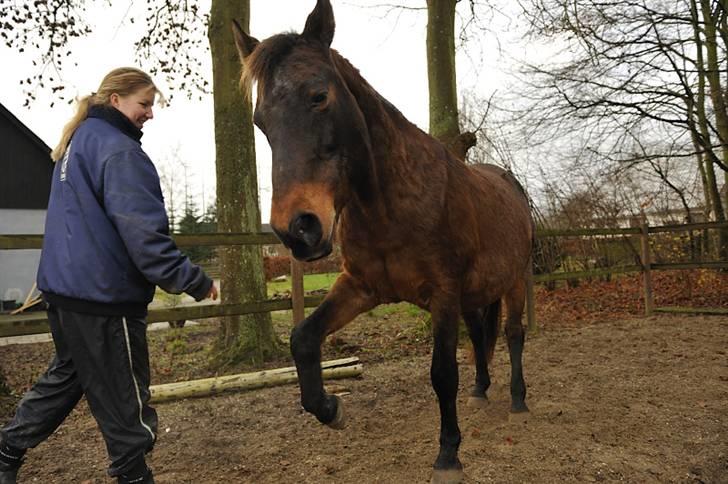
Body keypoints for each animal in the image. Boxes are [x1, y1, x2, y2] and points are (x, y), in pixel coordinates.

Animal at [233, 1, 536, 482]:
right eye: (260, 121)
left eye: (319, 96)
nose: (297, 228)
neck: (391, 204)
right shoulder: (361, 286)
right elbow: (303, 337)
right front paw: (331, 409)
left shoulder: (443, 293)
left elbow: (442, 373)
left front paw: (448, 455)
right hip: (476, 294)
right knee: (479, 336)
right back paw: (480, 390)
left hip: (515, 281)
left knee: (513, 334)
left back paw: (517, 399)